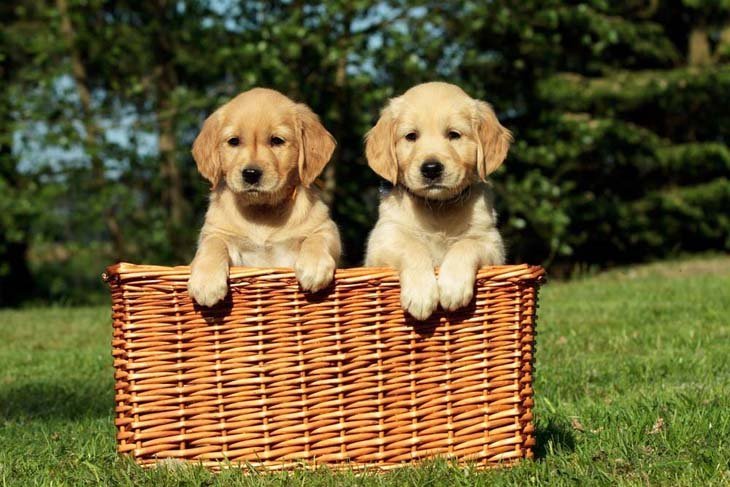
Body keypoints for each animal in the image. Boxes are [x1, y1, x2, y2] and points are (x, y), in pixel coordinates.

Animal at [185, 87, 338, 306]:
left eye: (277, 140)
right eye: (233, 141)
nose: (251, 174)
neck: (262, 210)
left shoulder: (326, 228)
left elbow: (317, 238)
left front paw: (314, 266)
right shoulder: (216, 233)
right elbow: (212, 245)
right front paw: (206, 282)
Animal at [362, 82, 510, 322]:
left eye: (454, 135)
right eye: (411, 136)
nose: (431, 169)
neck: (438, 209)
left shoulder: (492, 243)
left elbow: (466, 244)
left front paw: (452, 287)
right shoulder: (383, 240)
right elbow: (412, 246)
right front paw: (421, 294)